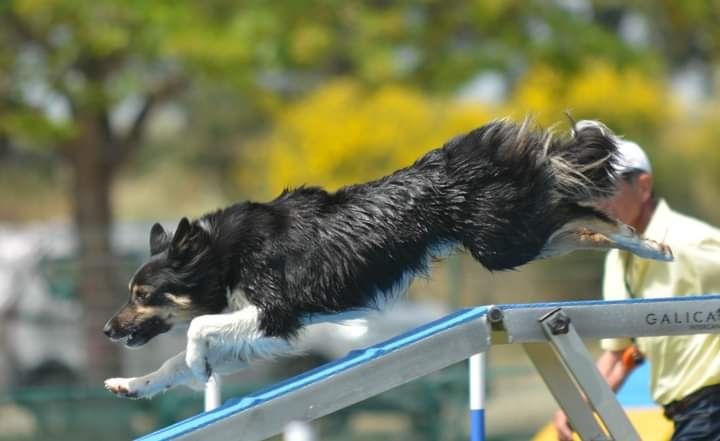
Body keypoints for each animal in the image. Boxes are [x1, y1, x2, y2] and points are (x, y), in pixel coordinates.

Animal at [102, 117, 676, 398]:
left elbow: (197, 333)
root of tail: (470, 154)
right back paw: (649, 243)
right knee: (584, 220)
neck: (224, 253)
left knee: (576, 209)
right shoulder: (261, 329)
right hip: (510, 235)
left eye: (143, 294)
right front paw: (133, 384)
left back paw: (647, 243)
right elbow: (173, 362)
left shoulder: (276, 313)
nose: (107, 329)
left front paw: (196, 361)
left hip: (502, 242)